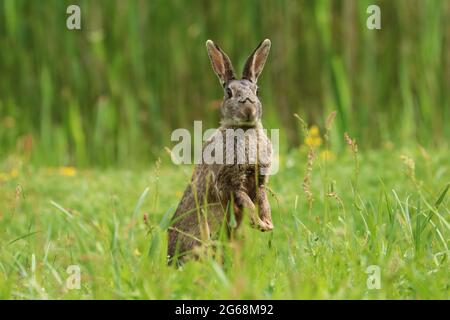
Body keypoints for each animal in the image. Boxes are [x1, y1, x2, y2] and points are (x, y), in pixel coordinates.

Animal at [167, 38, 272, 264]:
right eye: (229, 93)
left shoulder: (259, 180)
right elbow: (247, 201)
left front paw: (267, 224)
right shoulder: (229, 183)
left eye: (257, 91)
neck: (245, 130)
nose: (249, 109)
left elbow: (263, 200)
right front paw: (258, 223)